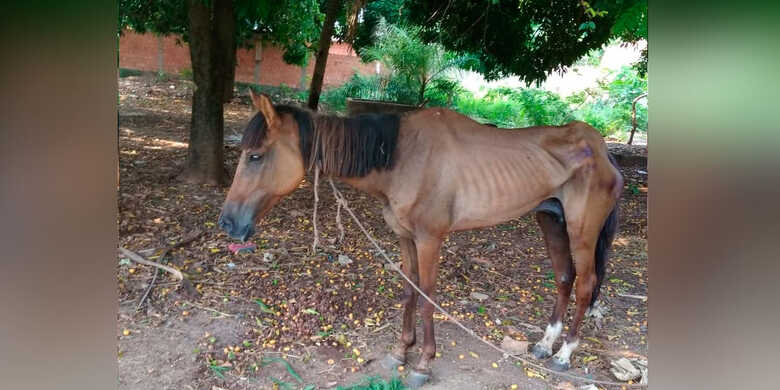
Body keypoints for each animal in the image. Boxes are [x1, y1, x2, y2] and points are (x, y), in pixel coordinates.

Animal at [310, 169, 644, 388]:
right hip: (553, 223)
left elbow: (427, 297)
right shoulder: (405, 236)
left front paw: (423, 364)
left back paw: (564, 354)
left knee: (586, 285)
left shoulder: (429, 238)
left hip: (583, 233)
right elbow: (410, 290)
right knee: (564, 278)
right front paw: (400, 352)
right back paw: (544, 344)